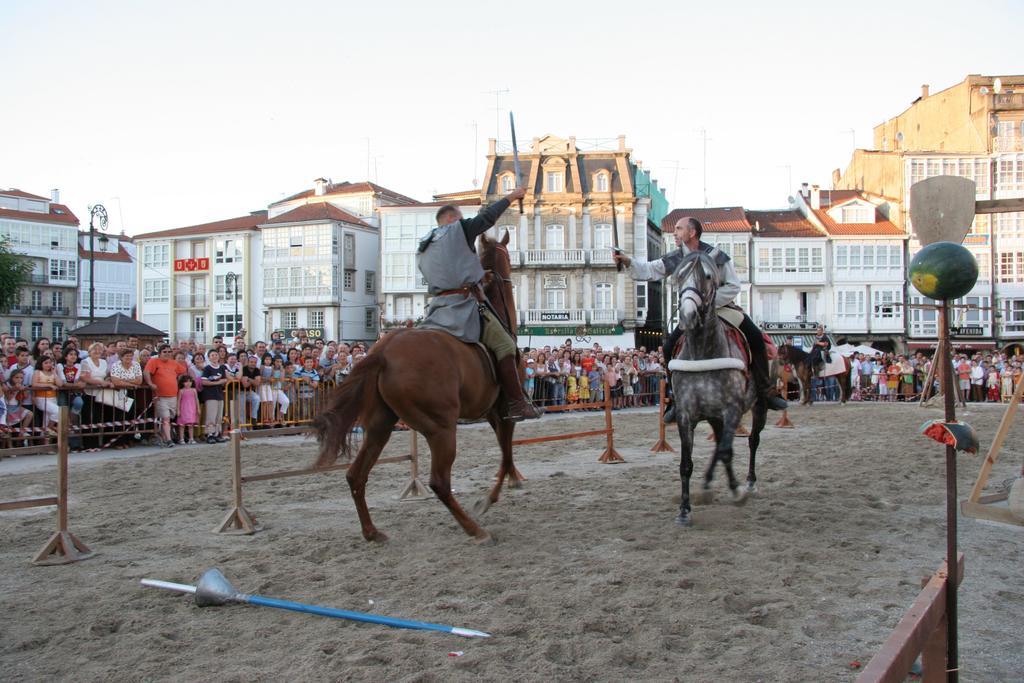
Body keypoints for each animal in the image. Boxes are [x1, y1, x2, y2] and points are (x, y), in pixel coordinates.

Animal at [311, 232, 520, 540]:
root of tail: (384, 353)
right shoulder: (504, 412)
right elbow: (506, 455)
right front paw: (489, 499)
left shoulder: (495, 414)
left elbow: (506, 454)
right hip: (441, 429)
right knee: (439, 482)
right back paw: (475, 529)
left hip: (380, 427)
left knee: (356, 475)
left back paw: (372, 532)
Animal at [667, 253, 765, 528]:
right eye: (679, 276)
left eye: (708, 276)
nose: (687, 315)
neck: (703, 350)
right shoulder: (686, 415)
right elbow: (686, 464)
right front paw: (684, 510)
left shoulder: (732, 410)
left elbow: (726, 451)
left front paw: (734, 490)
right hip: (713, 416)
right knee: (721, 442)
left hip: (758, 407)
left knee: (752, 440)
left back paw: (749, 483)